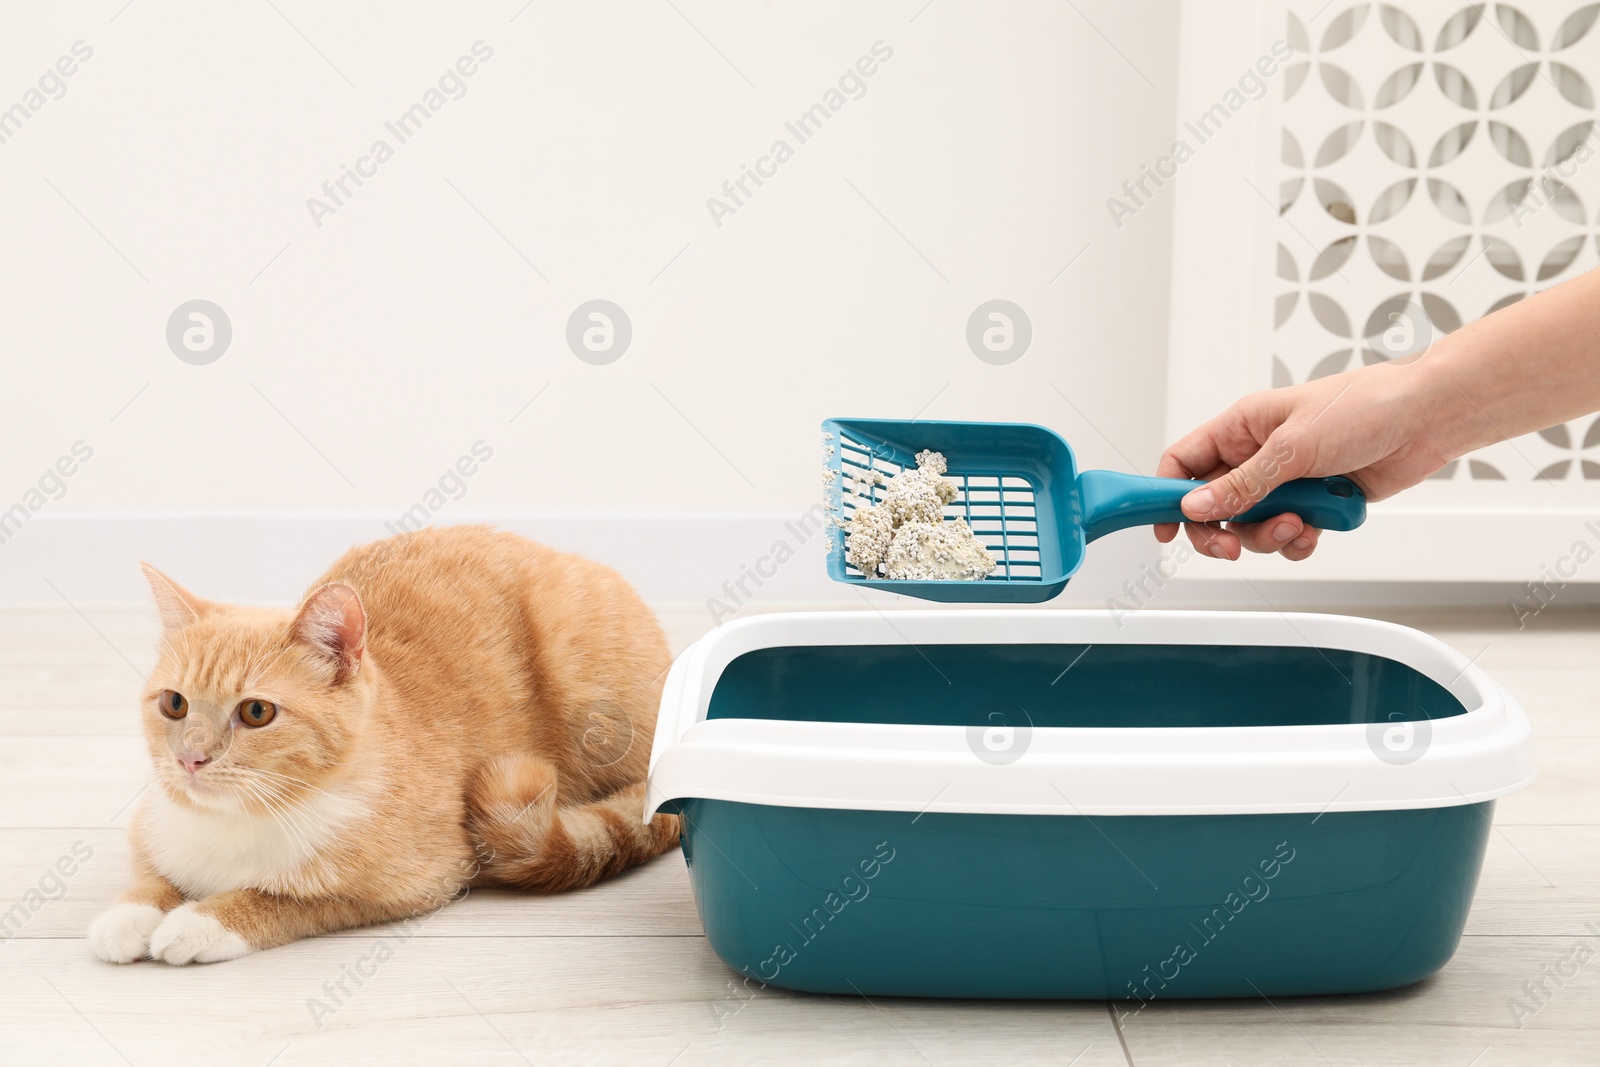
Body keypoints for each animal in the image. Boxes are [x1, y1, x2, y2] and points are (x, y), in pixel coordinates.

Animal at [89, 527, 675, 966]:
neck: (242, 820)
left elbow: (288, 900)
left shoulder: (421, 881)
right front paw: (130, 914)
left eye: (256, 712)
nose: (189, 758)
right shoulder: (153, 826)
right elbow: (152, 876)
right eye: (174, 704)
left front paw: (203, 921)